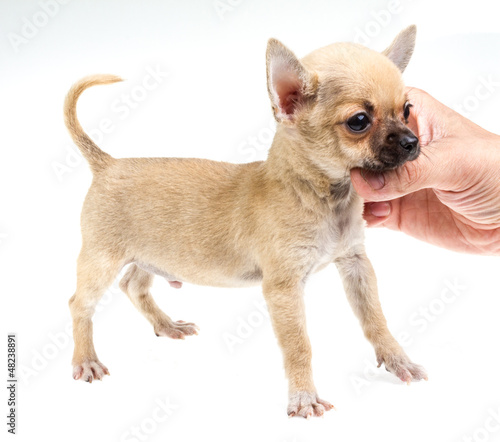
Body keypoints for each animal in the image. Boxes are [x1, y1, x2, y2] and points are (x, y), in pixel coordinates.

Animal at [65, 24, 426, 418]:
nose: (412, 141)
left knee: (133, 285)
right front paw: (304, 396)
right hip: (101, 260)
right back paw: (86, 359)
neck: (324, 197)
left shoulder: (355, 263)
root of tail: (108, 164)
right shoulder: (283, 289)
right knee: (79, 304)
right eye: (359, 121)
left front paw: (397, 359)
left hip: (150, 255)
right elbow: (299, 345)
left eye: (407, 110)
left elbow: (375, 318)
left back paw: (166, 325)